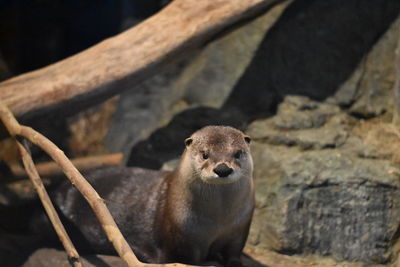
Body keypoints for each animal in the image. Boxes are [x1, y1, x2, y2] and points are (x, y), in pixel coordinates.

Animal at [39, 126, 255, 267]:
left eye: (237, 153)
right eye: (205, 154)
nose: (223, 169)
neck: (217, 222)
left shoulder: (240, 228)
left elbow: (234, 251)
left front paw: (233, 262)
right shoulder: (179, 238)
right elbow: (183, 260)